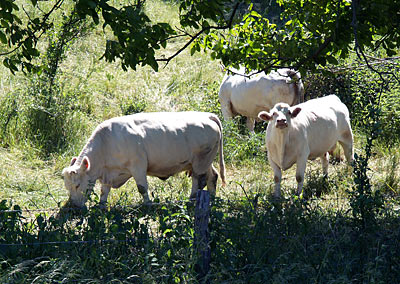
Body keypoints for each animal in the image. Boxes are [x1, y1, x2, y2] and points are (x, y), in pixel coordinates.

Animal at [61, 111, 227, 209]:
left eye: (77, 185)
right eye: (67, 187)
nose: (72, 206)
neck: (106, 142)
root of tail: (207, 115)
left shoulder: (138, 165)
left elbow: (142, 188)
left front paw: (147, 205)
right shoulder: (109, 173)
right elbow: (104, 190)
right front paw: (101, 206)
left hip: (201, 161)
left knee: (198, 180)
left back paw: (191, 199)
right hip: (205, 161)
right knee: (212, 176)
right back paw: (212, 198)